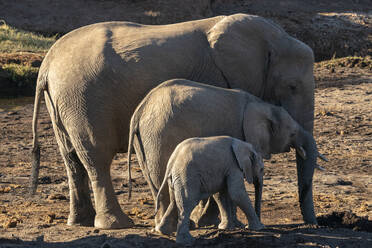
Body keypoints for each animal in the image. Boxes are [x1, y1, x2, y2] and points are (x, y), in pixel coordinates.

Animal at [127, 79, 316, 231]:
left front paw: (234, 225)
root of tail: (139, 111)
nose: (315, 225)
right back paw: (182, 227)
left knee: (157, 184)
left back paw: (165, 228)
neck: (262, 105)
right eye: (292, 134)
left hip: (145, 142)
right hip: (159, 138)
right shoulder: (239, 134)